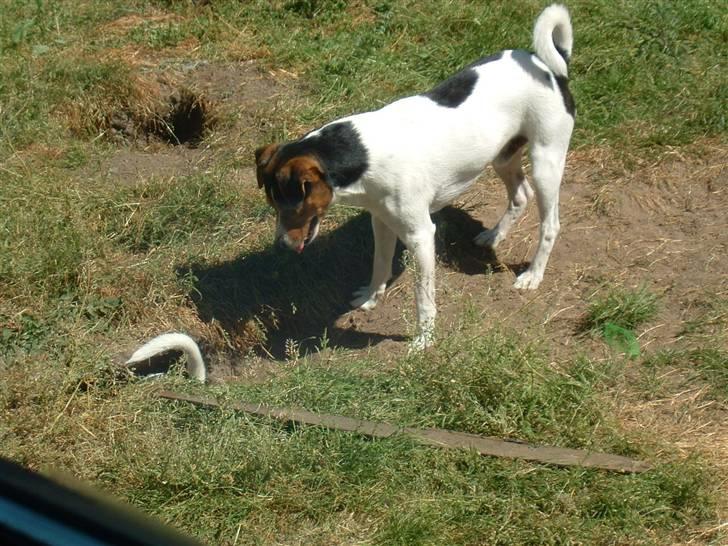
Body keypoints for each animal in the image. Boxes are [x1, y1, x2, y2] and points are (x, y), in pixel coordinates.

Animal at [256, 4, 576, 346]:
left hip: (546, 161)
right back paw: (494, 236)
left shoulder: (421, 236)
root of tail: (548, 65)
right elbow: (380, 264)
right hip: (503, 156)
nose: (283, 246)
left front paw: (424, 339)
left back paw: (533, 275)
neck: (362, 153)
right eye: (274, 206)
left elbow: (423, 296)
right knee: (520, 195)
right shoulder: (381, 220)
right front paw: (371, 298)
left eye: (294, 205)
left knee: (550, 224)